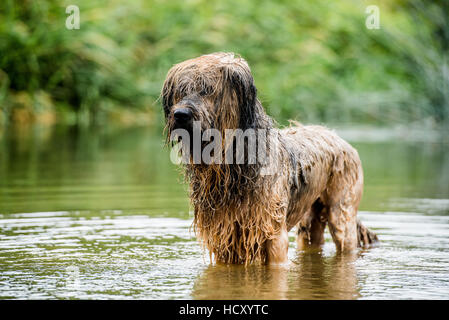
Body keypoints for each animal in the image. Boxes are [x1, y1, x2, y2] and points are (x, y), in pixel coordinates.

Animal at [161, 51, 378, 264]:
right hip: (309, 221)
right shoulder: (225, 237)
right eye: (181, 91)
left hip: (342, 214)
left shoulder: (273, 235)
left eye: (207, 90)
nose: (180, 114)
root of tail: (339, 138)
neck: (232, 168)